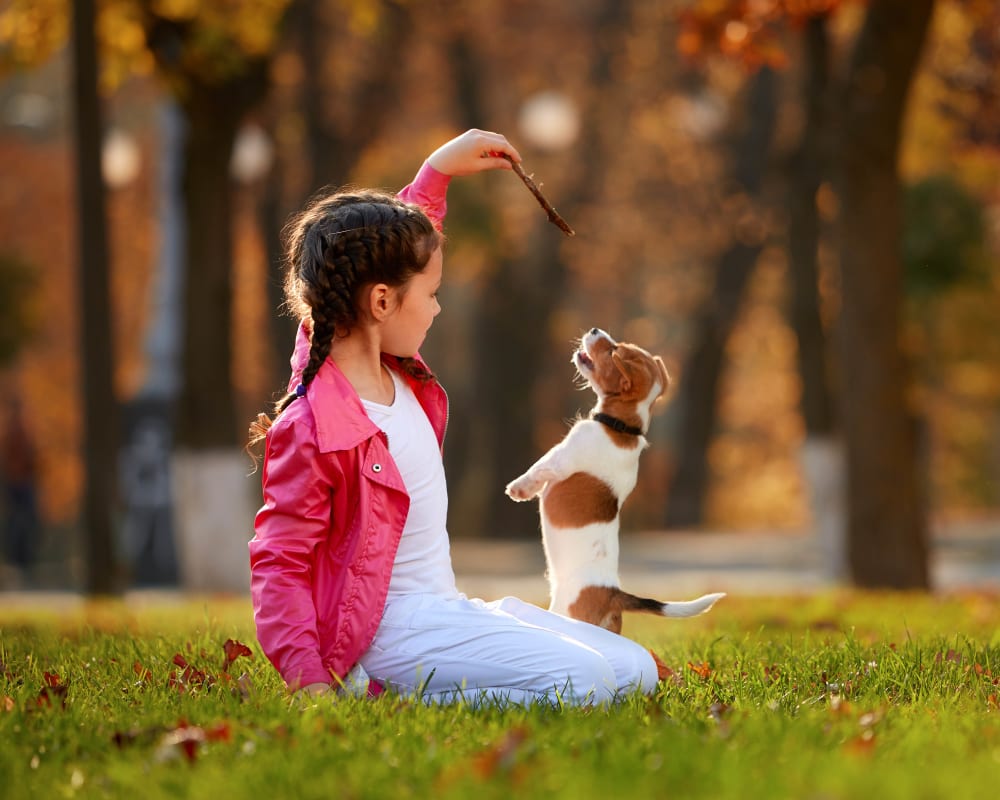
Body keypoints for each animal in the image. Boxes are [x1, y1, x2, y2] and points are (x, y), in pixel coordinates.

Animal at [504, 328, 724, 636]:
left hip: (563, 613)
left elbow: (537, 469)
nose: (595, 330)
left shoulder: (561, 458)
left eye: (613, 350)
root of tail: (612, 594)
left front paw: (518, 489)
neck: (622, 427)